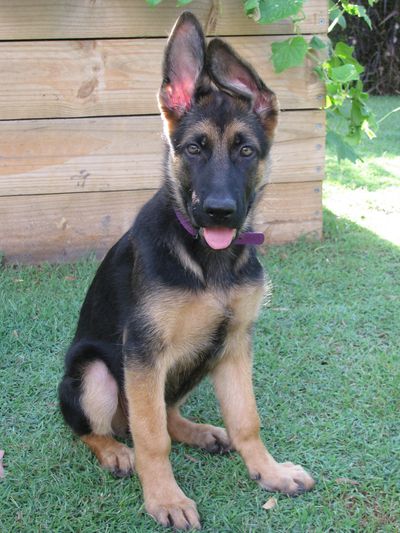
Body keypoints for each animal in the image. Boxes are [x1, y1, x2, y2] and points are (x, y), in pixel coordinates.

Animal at [59, 12, 316, 528]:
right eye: (194, 149)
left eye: (245, 151)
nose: (218, 211)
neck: (207, 259)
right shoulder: (143, 351)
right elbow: (151, 437)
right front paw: (165, 499)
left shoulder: (234, 343)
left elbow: (246, 420)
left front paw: (270, 472)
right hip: (94, 373)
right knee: (102, 428)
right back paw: (115, 451)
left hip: (204, 355)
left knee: (167, 412)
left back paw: (198, 431)